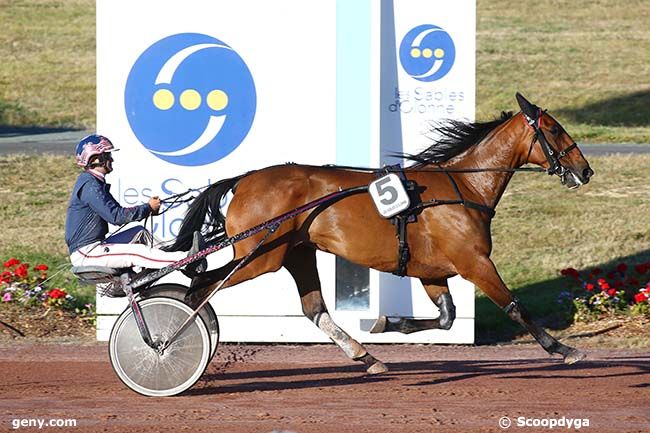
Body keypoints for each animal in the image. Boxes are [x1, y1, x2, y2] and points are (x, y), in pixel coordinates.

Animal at [166, 93, 592, 372]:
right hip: (260, 256)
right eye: (554, 129)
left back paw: (366, 356)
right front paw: (562, 348)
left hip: (296, 252)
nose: (585, 170)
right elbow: (515, 307)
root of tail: (245, 179)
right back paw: (169, 342)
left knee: (314, 309)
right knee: (202, 287)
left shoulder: (433, 271)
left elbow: (446, 317)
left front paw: (388, 323)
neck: (464, 187)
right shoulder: (474, 262)